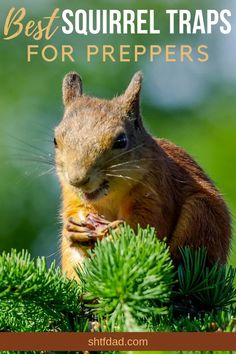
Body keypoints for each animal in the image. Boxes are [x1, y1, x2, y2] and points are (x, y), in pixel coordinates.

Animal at [54, 70, 231, 278]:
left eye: (121, 141)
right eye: (55, 140)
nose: (77, 179)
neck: (110, 195)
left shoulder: (156, 190)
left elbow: (148, 226)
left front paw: (116, 230)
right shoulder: (72, 196)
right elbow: (75, 212)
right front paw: (75, 230)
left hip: (202, 216)